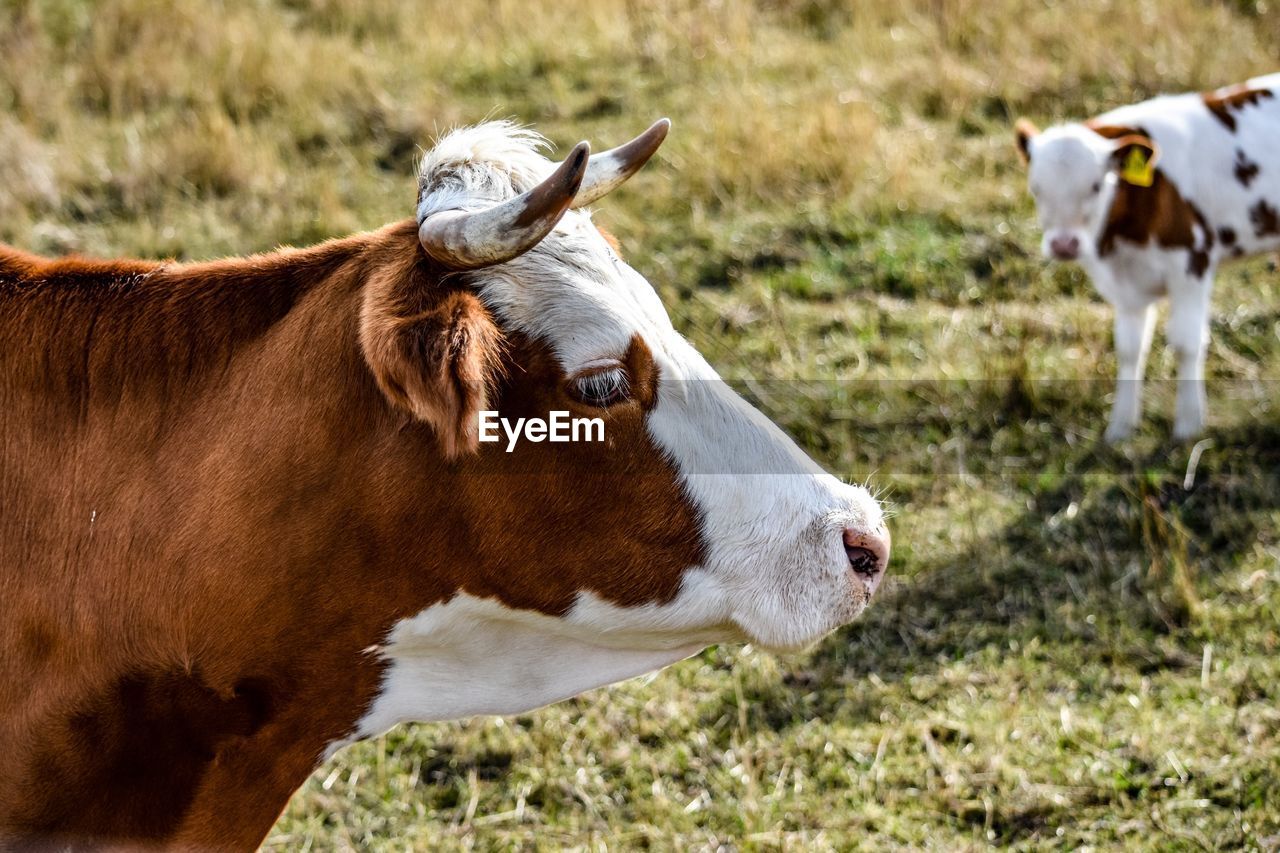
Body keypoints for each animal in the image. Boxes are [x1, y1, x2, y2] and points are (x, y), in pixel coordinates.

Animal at [1018, 74, 1280, 438]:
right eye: (1036, 188)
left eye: (1097, 185)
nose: (1064, 245)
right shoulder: (1126, 284)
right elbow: (1130, 349)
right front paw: (1120, 428)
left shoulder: (1192, 262)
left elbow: (1186, 343)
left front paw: (1188, 425)